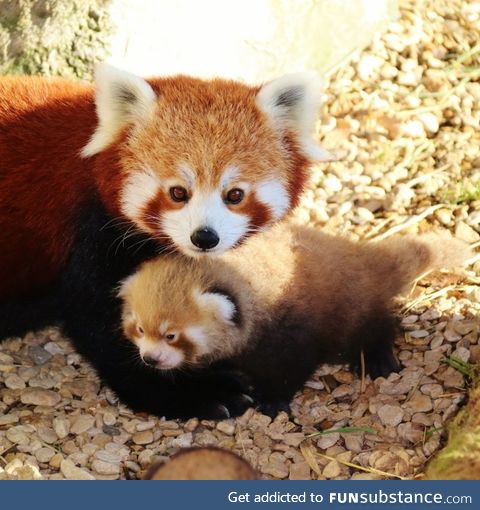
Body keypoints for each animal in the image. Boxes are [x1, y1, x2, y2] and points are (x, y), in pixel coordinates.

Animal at [0, 64, 326, 418]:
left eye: (235, 195)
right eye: (178, 193)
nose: (204, 237)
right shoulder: (93, 231)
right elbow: (99, 320)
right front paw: (194, 392)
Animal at [118, 225, 470, 416]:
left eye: (172, 336)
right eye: (139, 329)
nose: (150, 359)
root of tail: (362, 254)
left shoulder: (290, 329)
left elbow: (289, 367)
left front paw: (271, 400)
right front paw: (232, 379)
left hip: (352, 308)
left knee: (379, 324)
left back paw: (377, 357)